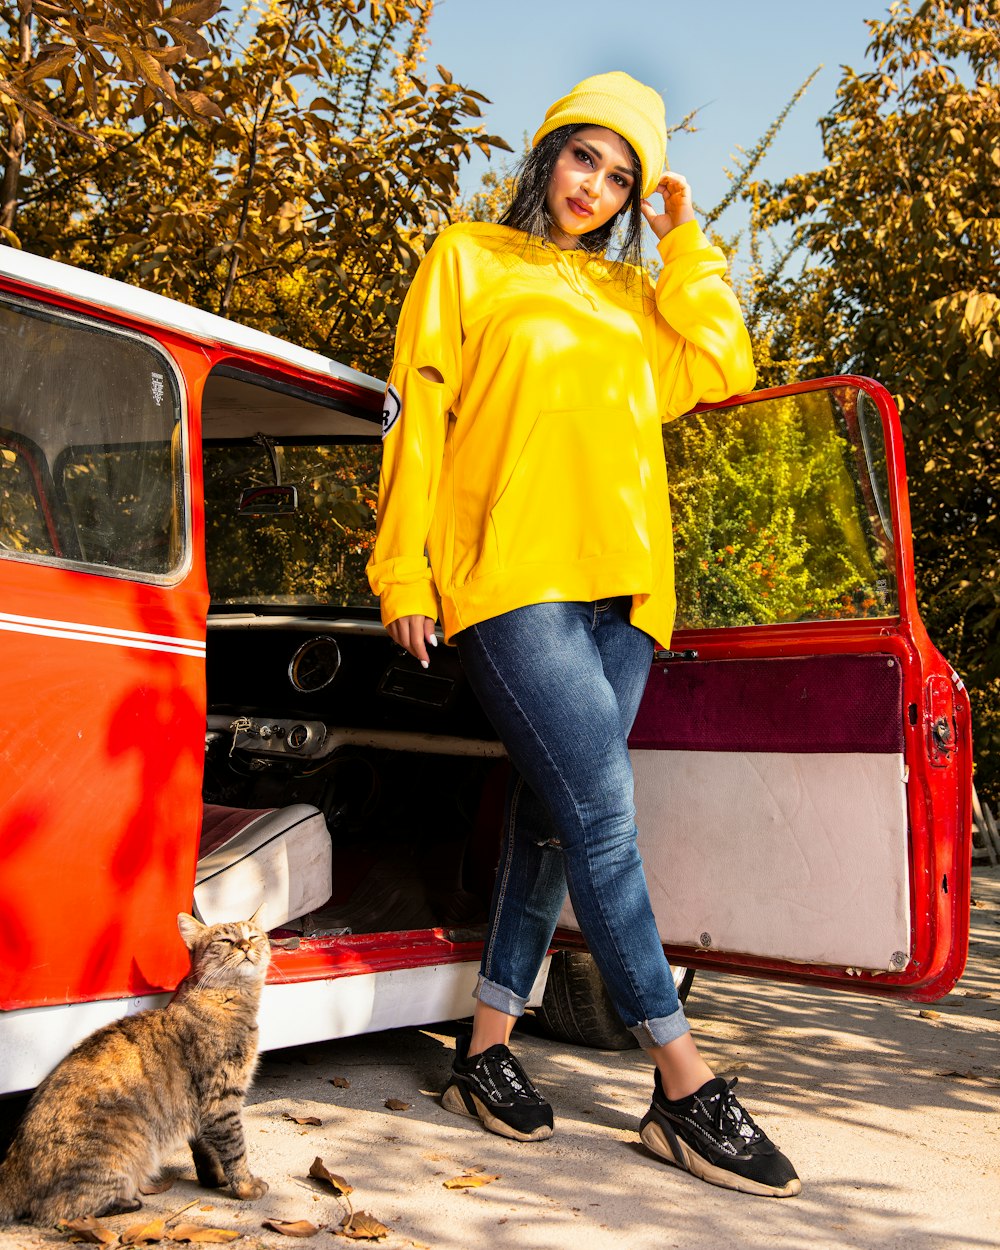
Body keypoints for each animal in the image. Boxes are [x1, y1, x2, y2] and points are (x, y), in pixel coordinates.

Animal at [0, 915, 270, 1225]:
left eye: (254, 935)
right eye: (225, 940)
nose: (245, 945)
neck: (229, 1001)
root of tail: (12, 1167)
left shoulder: (203, 1109)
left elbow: (205, 1150)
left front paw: (215, 1178)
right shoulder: (221, 1100)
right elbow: (235, 1148)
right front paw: (246, 1185)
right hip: (128, 1147)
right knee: (59, 1211)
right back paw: (127, 1203)